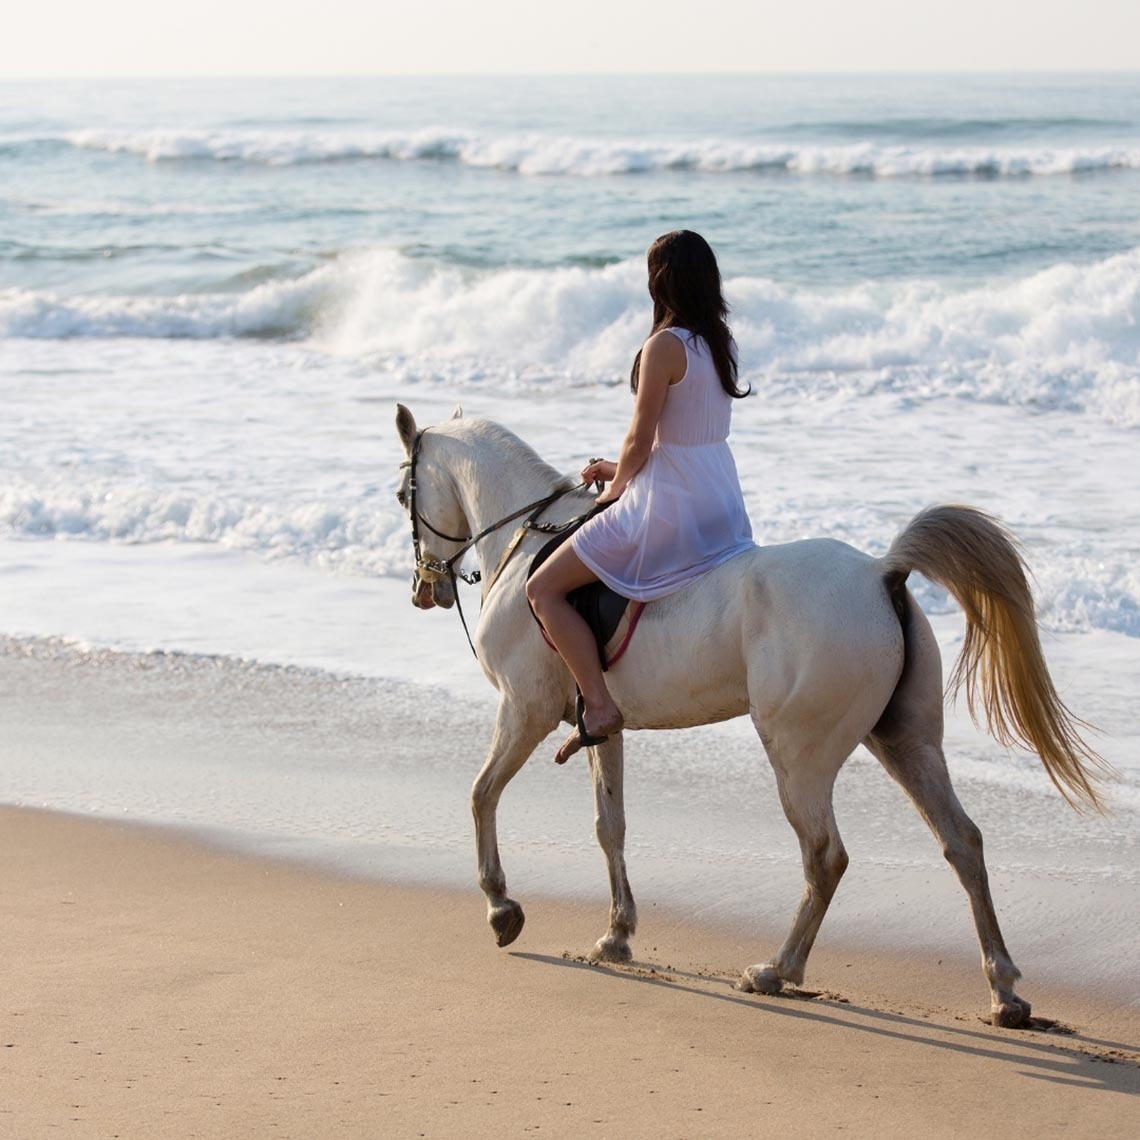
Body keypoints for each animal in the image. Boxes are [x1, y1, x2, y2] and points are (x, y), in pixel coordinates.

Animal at [393, 404, 1109, 1028]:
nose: (424, 590)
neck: (526, 543)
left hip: (799, 755)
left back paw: (777, 970)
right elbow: (609, 825)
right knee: (962, 842)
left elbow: (481, 794)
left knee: (825, 856)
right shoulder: (602, 726)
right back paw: (1004, 992)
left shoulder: (525, 709)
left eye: (403, 495)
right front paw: (617, 934)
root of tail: (882, 574)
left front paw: (500, 908)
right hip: (905, 743)